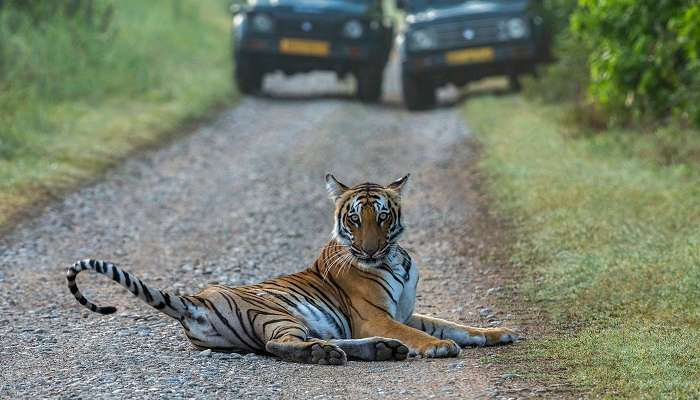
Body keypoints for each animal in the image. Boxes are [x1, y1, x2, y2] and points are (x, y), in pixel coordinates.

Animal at [68, 173, 520, 364]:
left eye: (382, 217)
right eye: (354, 219)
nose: (370, 249)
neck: (395, 257)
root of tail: (197, 299)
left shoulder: (406, 312)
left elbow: (454, 325)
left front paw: (497, 333)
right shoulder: (375, 316)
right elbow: (424, 334)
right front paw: (439, 347)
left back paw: (378, 350)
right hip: (279, 313)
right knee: (277, 346)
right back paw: (333, 354)